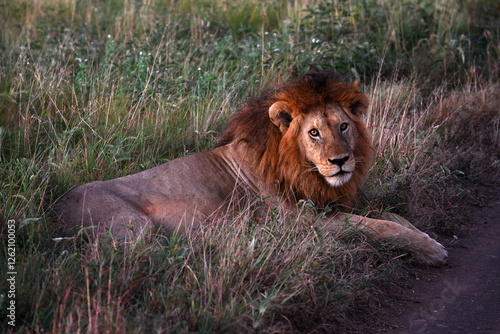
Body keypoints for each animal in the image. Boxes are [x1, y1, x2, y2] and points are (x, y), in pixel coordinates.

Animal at [56, 70, 448, 266]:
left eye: (343, 127)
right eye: (314, 132)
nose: (340, 161)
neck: (302, 169)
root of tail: (53, 211)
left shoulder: (328, 204)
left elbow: (391, 215)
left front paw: (425, 237)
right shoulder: (303, 222)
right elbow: (377, 225)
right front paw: (430, 250)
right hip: (133, 229)